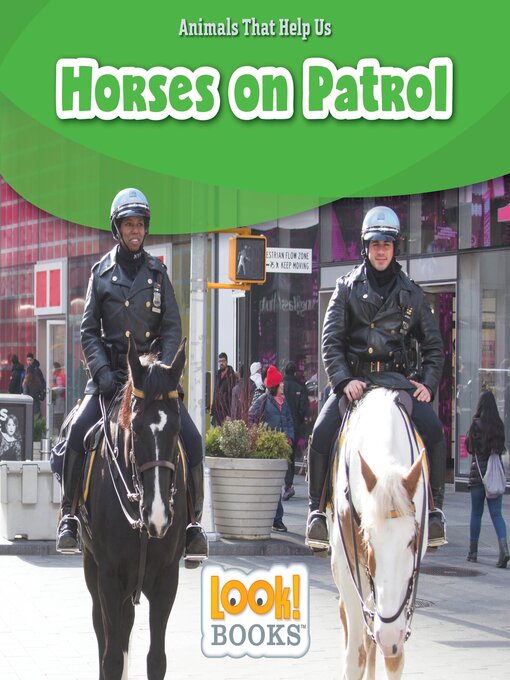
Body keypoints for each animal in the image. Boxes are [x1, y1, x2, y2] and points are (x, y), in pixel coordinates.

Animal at [79, 336, 188, 680]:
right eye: (135, 428)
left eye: (177, 428)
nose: (158, 517)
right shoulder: (109, 577)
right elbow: (111, 658)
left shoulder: (167, 578)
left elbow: (157, 660)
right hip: (92, 568)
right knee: (103, 632)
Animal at [328, 388, 428, 680]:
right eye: (368, 540)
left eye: (411, 541)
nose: (390, 635)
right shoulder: (347, 564)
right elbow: (355, 657)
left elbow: (393, 659)